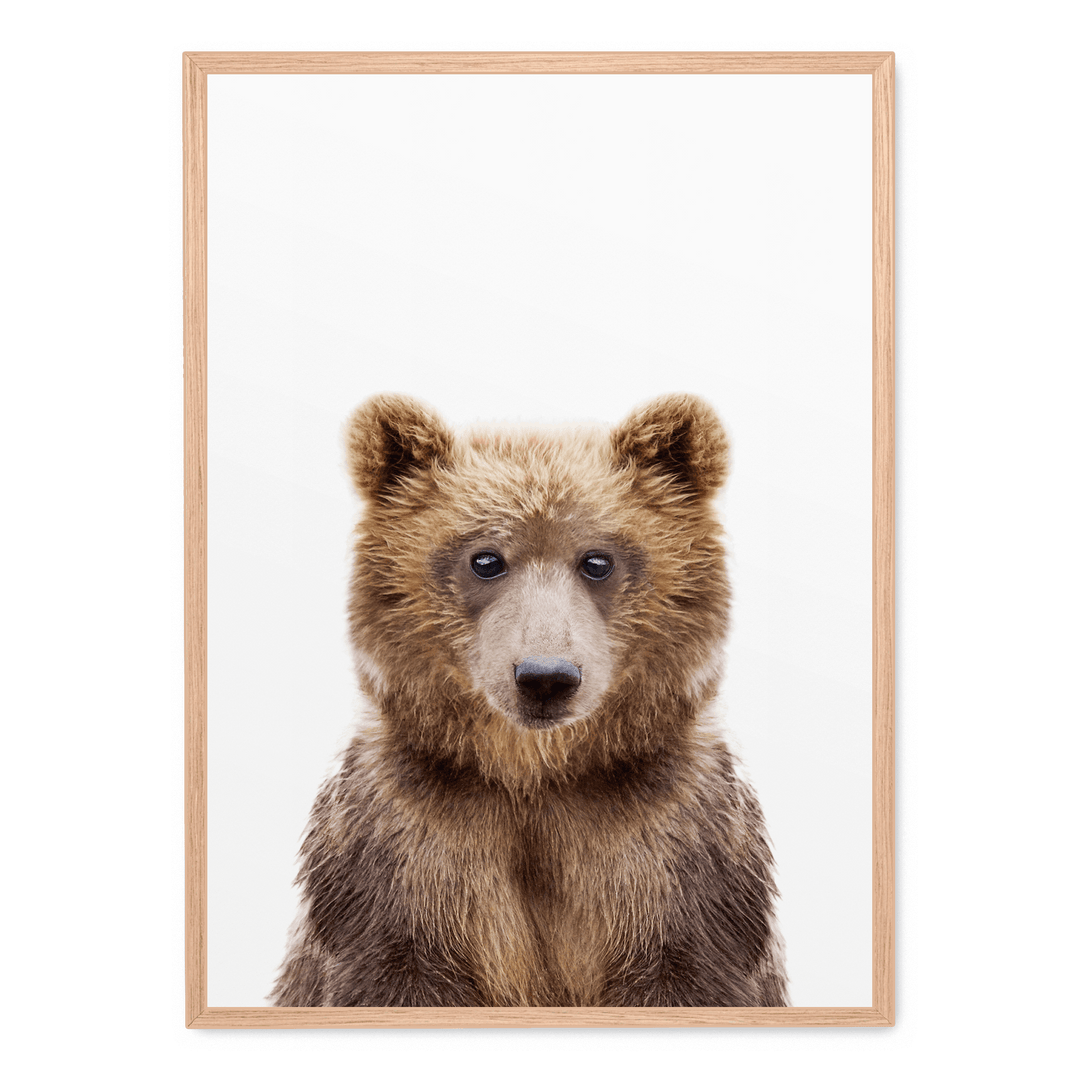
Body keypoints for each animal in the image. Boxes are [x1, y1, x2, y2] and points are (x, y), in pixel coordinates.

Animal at [271, 393, 788, 1009]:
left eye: (597, 560)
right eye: (486, 559)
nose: (545, 677)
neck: (536, 776)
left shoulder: (674, 849)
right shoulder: (403, 848)